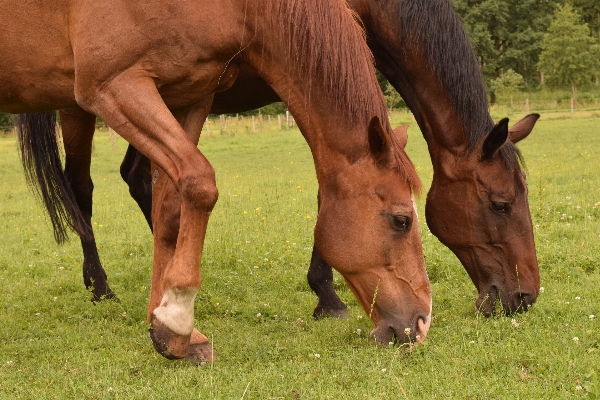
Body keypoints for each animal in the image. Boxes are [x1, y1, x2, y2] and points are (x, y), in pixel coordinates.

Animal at [0, 0, 432, 362]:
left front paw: (168, 329)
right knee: (80, 190)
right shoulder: (113, 85)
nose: (422, 323)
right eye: (401, 220)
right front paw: (177, 316)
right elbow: (200, 183)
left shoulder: (188, 95)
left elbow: (170, 207)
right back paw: (101, 287)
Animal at [92, 0, 536, 318]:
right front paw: (328, 297)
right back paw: (103, 288)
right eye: (501, 204)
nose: (526, 296)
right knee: (82, 190)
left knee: (138, 178)